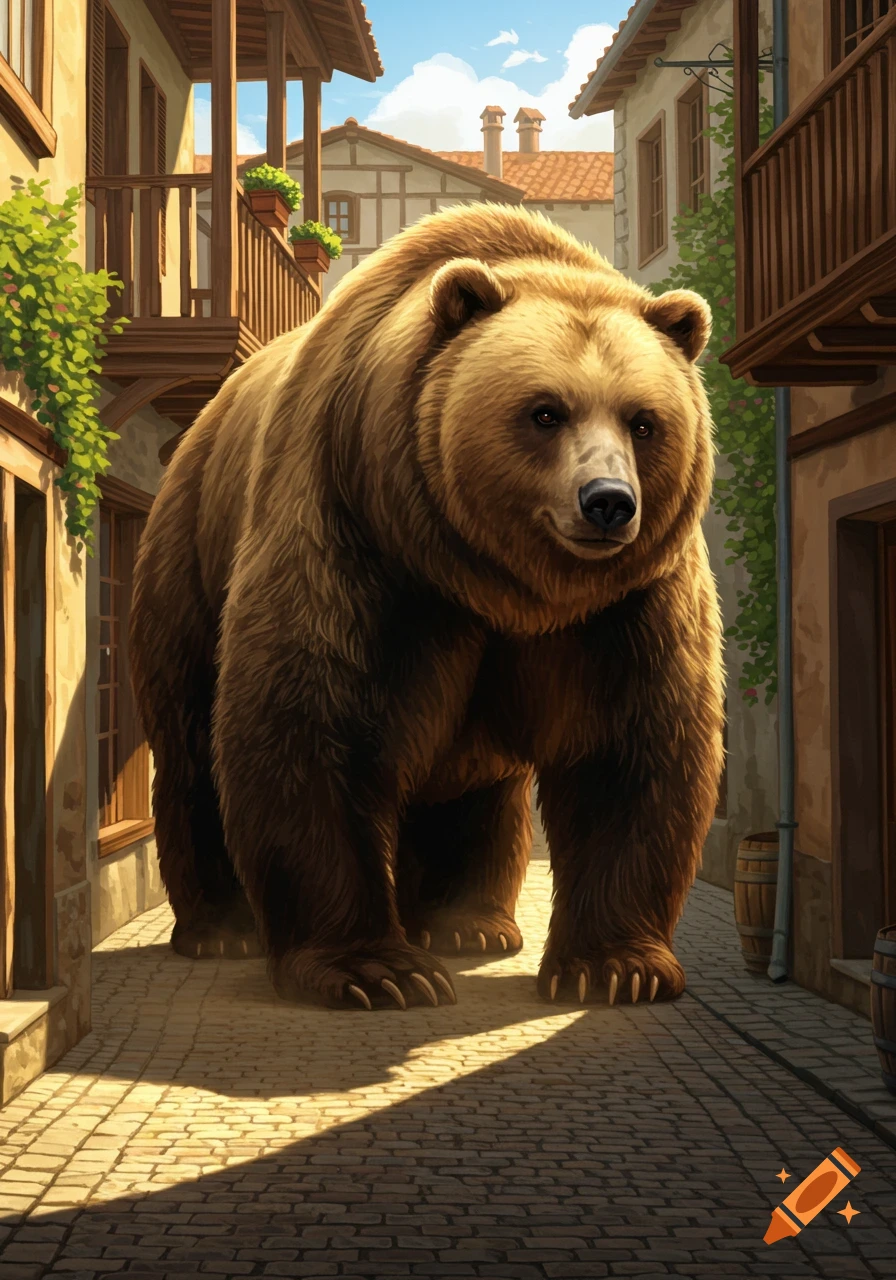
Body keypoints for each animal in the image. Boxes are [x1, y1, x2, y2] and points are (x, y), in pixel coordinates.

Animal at [130, 201, 724, 1012]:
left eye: (643, 420)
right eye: (545, 412)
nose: (607, 502)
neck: (498, 582)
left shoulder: (628, 601)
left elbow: (631, 744)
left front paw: (615, 967)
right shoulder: (354, 529)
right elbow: (310, 720)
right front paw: (376, 970)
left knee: (477, 783)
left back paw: (466, 924)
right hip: (188, 550)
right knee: (191, 735)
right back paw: (221, 929)